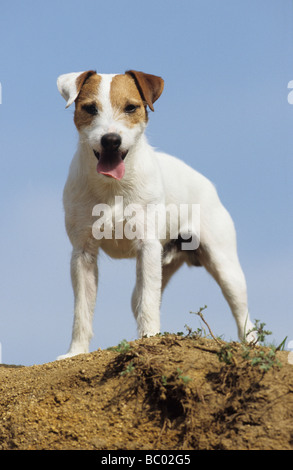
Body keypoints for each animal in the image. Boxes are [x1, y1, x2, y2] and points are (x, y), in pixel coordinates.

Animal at [56, 69, 254, 360]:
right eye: (90, 108)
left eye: (131, 107)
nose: (111, 140)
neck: (113, 187)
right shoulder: (83, 253)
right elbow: (82, 309)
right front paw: (76, 352)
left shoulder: (147, 246)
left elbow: (148, 302)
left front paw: (149, 338)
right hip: (162, 266)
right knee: (139, 300)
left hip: (225, 266)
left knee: (242, 314)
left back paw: (252, 345)